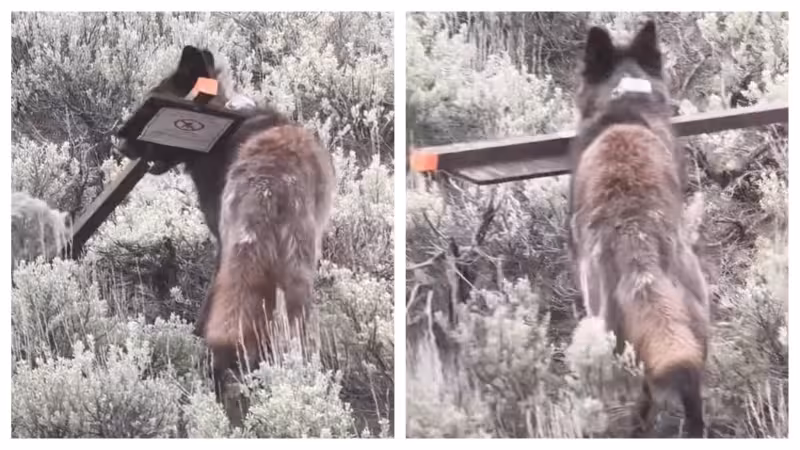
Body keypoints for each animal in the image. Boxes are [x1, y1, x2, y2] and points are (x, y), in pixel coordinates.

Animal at [117, 45, 335, 402]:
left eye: (155, 97)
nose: (118, 143)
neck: (225, 127)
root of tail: (271, 182)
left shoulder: (220, 243)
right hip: (297, 273)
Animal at [567, 21, 710, 438]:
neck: (626, 100)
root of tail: (635, 234)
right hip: (694, 323)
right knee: (691, 391)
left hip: (607, 325)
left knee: (643, 394)